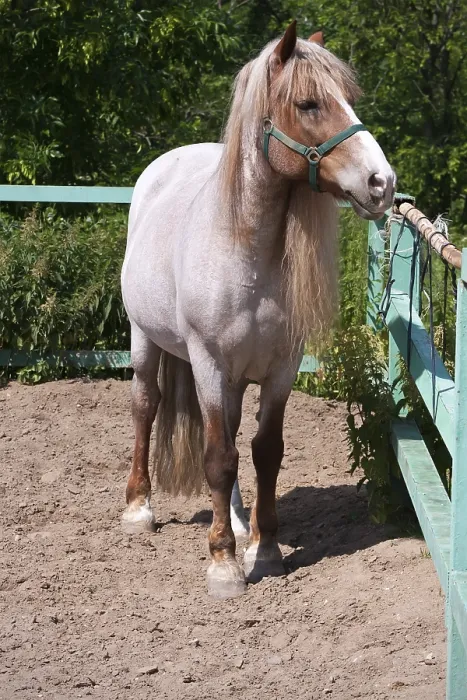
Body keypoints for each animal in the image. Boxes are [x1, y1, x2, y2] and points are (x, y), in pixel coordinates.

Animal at [121, 22, 395, 599]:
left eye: (349, 98)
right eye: (309, 103)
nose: (383, 183)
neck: (245, 248)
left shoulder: (280, 368)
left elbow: (264, 451)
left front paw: (264, 549)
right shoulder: (207, 363)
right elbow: (217, 457)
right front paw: (224, 564)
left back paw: (239, 521)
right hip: (144, 338)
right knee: (146, 405)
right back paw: (139, 508)